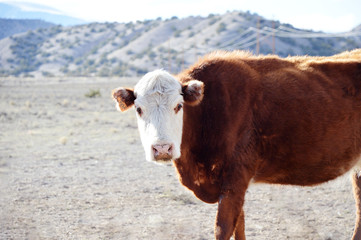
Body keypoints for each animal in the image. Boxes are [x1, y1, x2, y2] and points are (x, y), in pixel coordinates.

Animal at [111, 49, 360, 239]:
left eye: (178, 106)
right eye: (139, 109)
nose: (162, 148)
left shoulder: (235, 179)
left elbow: (223, 228)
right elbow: (239, 226)